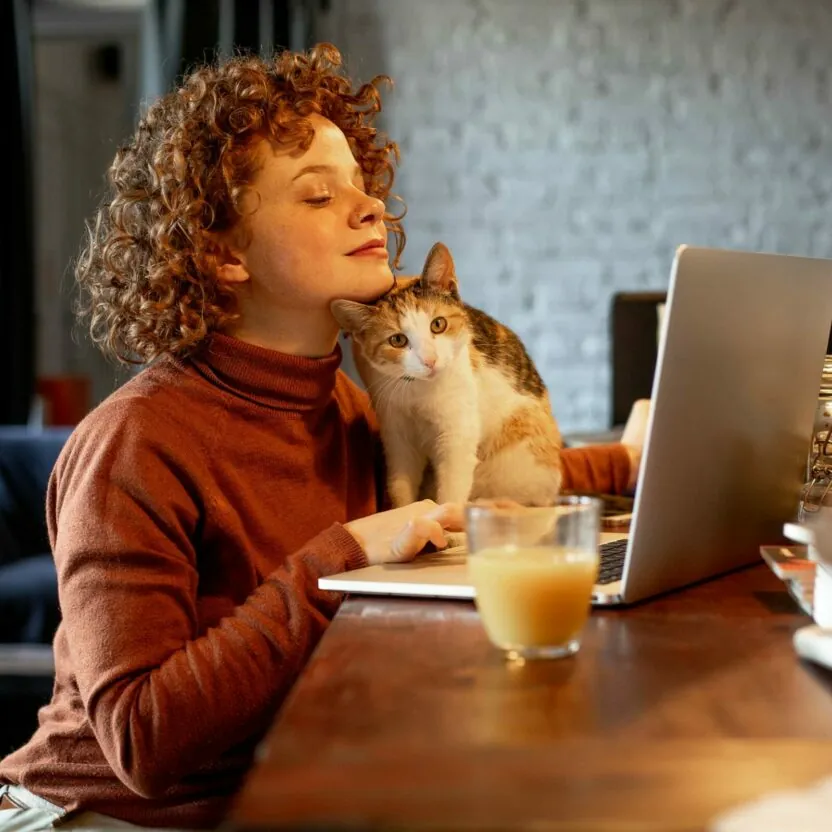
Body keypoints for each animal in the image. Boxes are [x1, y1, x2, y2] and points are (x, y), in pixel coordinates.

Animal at [334, 242, 564, 508]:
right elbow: (401, 484)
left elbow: (452, 487)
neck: (418, 392)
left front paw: (447, 513)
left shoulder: (457, 433)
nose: (430, 360)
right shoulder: (397, 434)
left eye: (438, 324)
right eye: (398, 340)